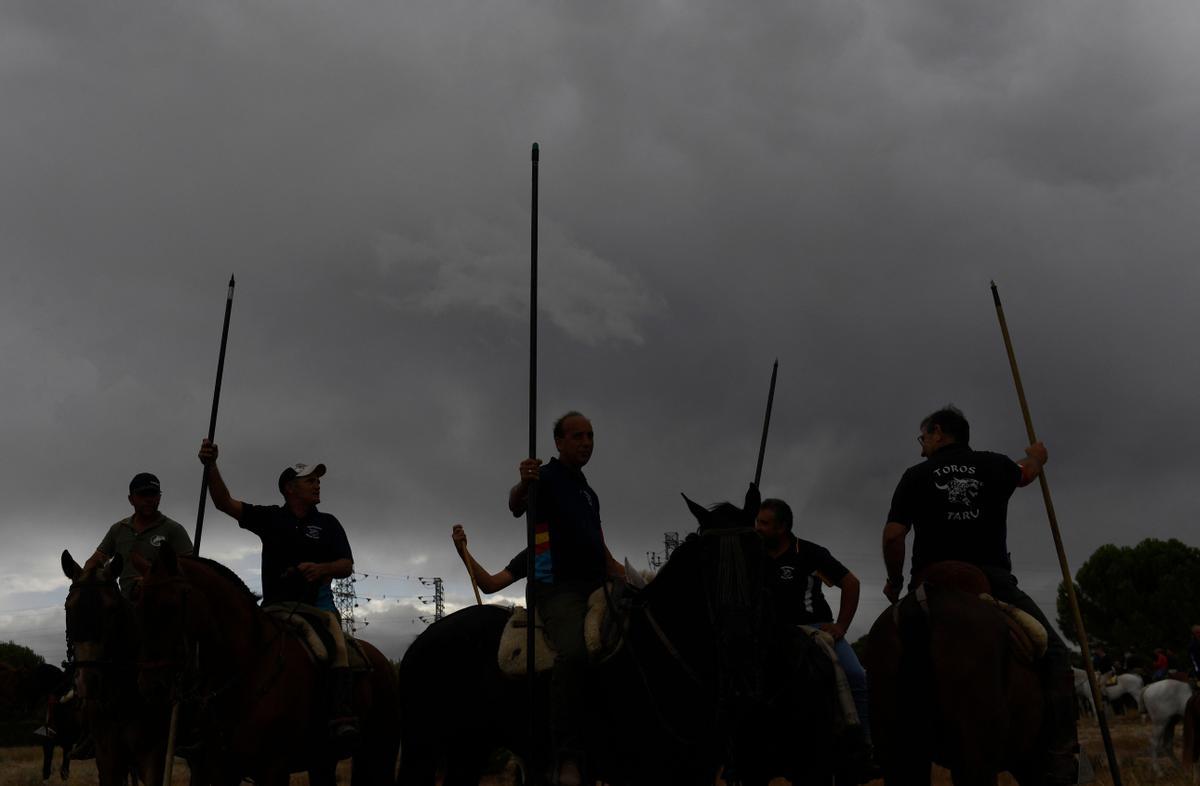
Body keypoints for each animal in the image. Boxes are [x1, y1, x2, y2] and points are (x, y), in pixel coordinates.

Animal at [133, 547, 400, 786]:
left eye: (170, 606)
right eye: (138, 607)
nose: (151, 688)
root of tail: (381, 659)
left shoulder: (274, 769)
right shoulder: (221, 768)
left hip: (379, 750)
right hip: (323, 760)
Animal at [393, 484, 835, 786]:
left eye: (760, 554)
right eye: (705, 563)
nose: (738, 644)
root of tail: (422, 641)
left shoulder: (697, 768)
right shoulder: (644, 768)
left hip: (469, 745)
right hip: (423, 742)